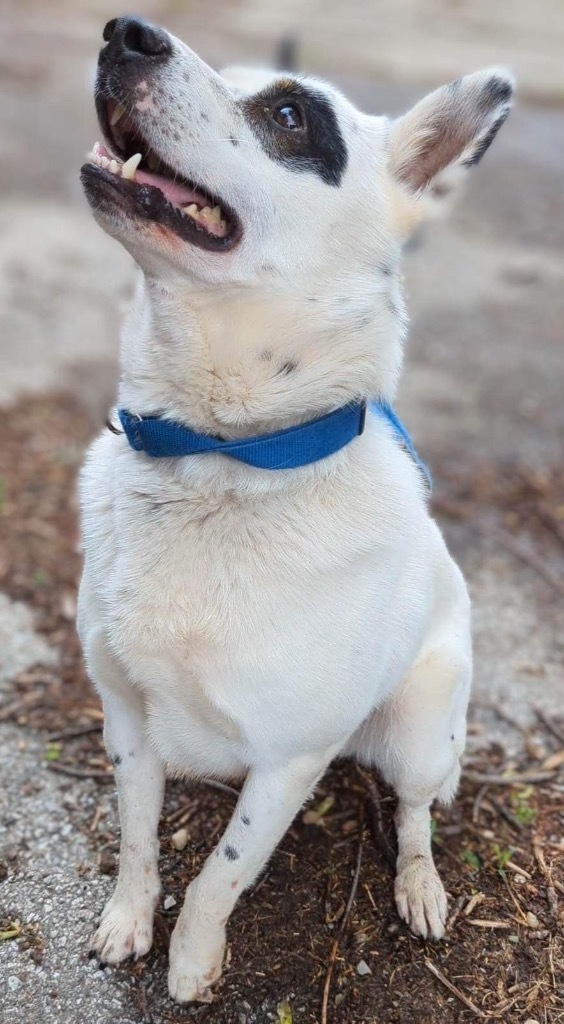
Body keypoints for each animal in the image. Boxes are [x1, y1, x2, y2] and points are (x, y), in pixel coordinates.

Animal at [77, 16, 513, 1003]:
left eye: (287, 115)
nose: (125, 32)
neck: (223, 458)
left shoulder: (289, 761)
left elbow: (220, 875)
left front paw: (192, 963)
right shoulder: (125, 715)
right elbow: (137, 841)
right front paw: (128, 921)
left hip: (423, 725)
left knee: (418, 812)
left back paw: (420, 886)